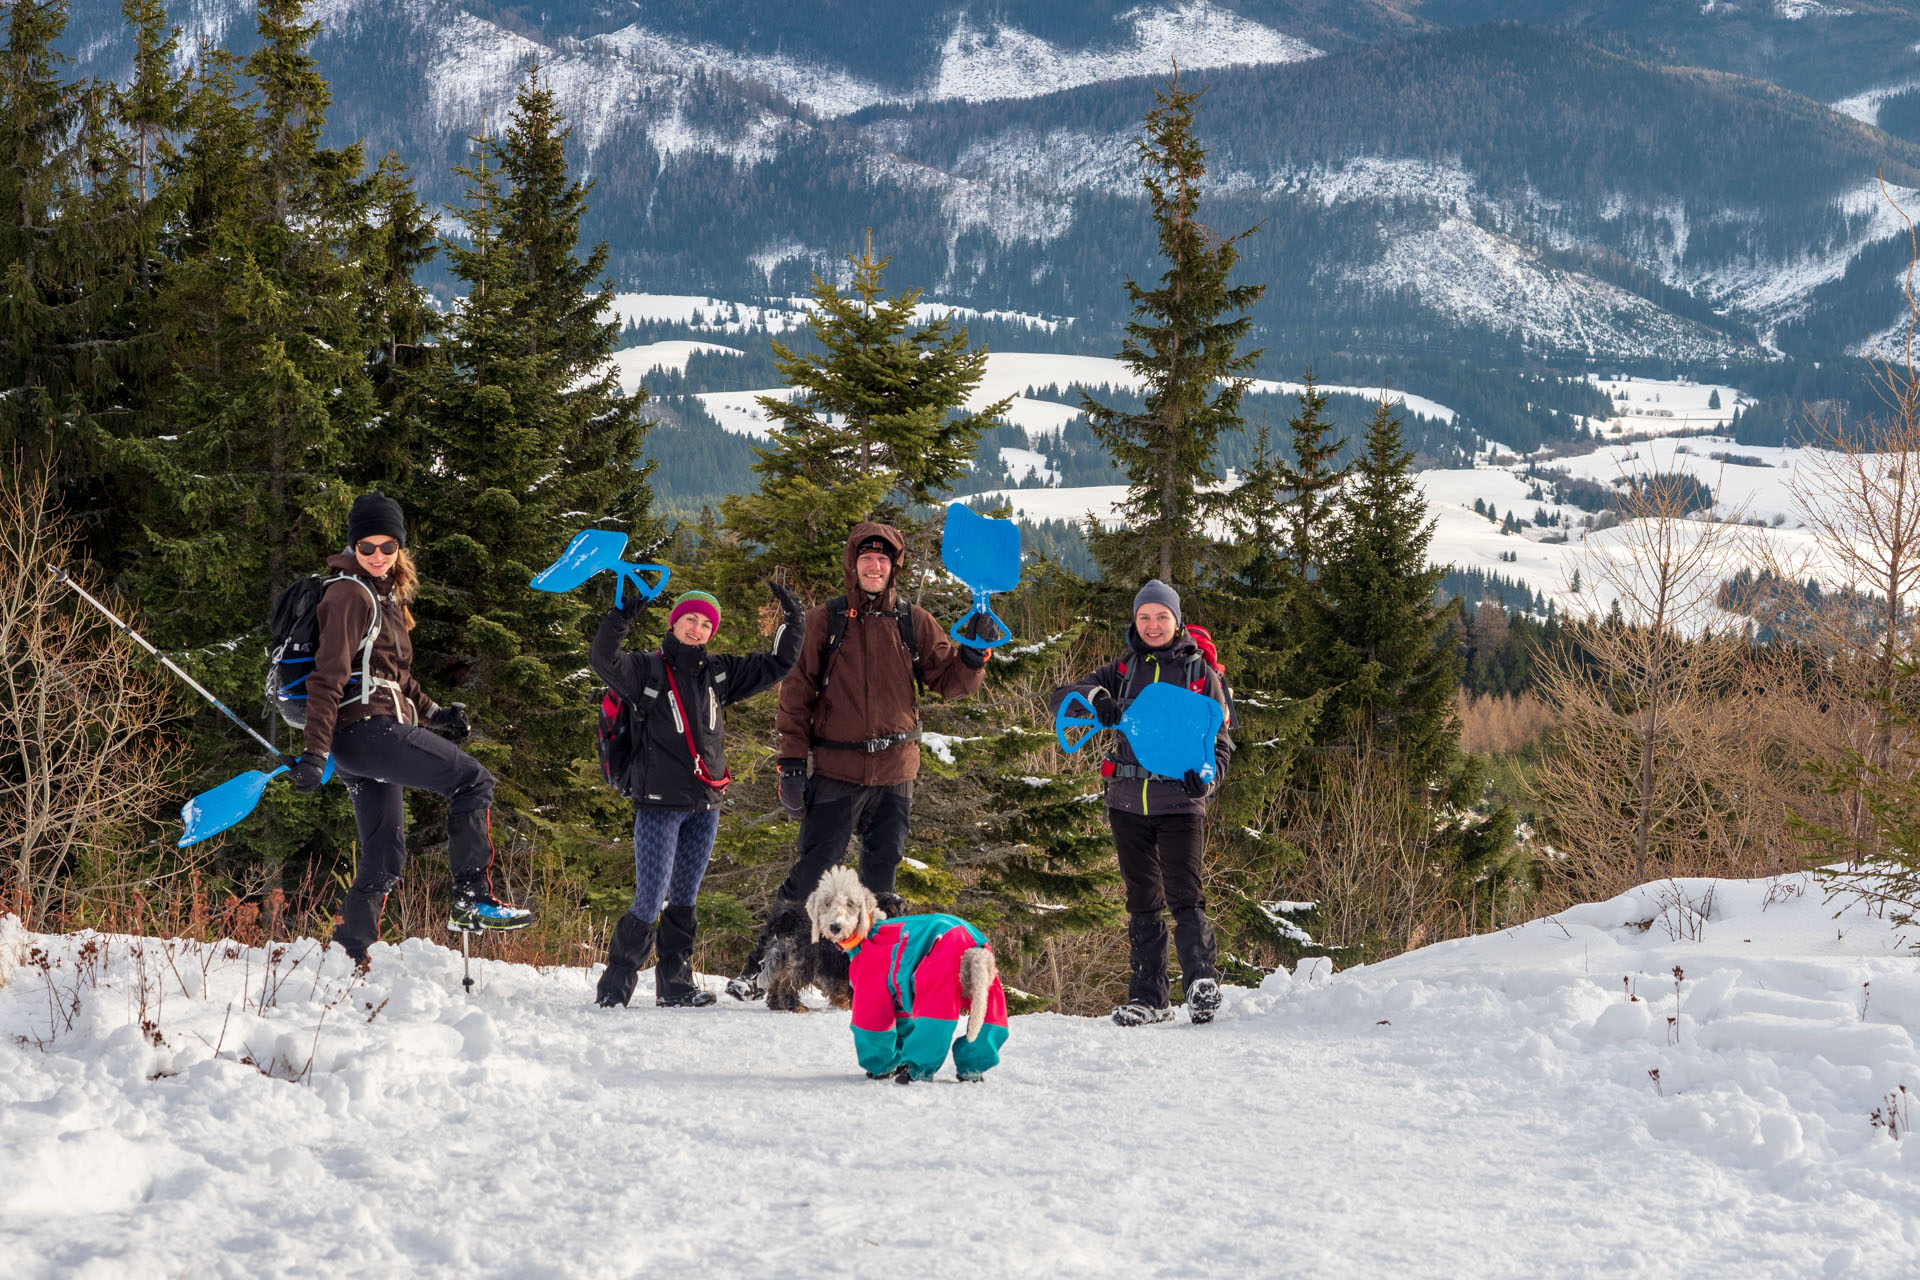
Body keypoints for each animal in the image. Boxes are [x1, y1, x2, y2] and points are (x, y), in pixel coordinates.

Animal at [798, 867, 1006, 1090]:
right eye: (827, 902)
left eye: (851, 903)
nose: (835, 926)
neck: (869, 929)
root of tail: (974, 952)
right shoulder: (901, 1001)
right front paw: (898, 1066)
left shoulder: (872, 992)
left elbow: (874, 1030)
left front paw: (881, 1072)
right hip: (988, 997)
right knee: (986, 1034)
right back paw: (970, 1075)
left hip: (937, 992)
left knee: (932, 1033)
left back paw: (913, 1075)